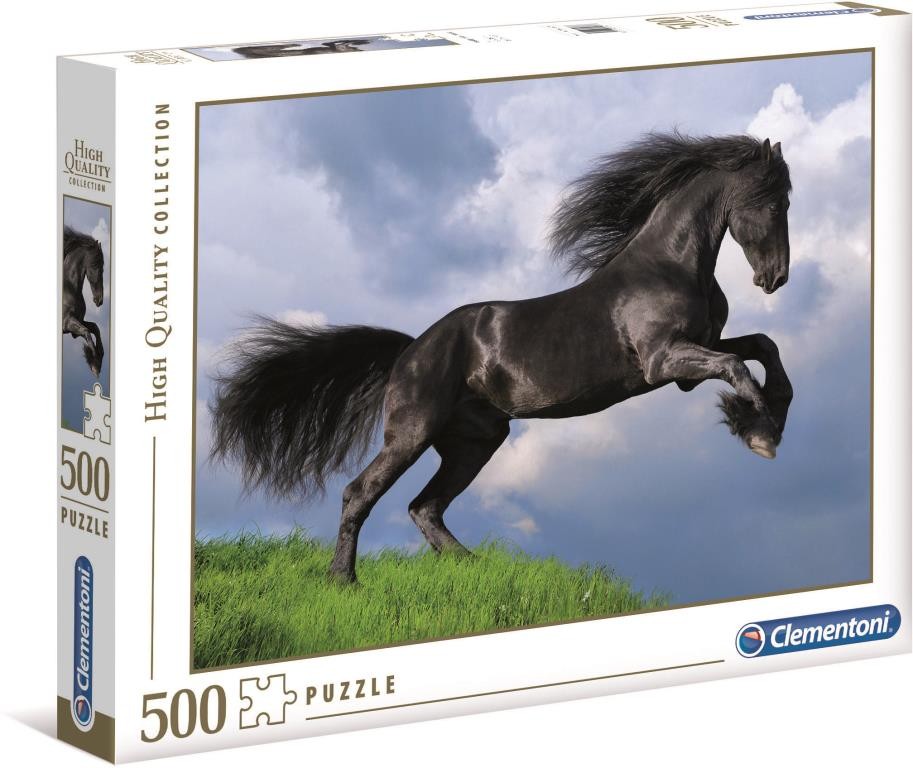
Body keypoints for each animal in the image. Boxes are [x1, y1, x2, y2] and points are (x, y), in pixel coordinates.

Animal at [62, 226, 105, 377]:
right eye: (97, 266)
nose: (99, 300)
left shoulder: (79, 320)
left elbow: (95, 328)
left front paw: (99, 358)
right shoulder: (67, 323)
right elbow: (87, 332)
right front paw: (94, 365)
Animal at [210, 132, 794, 584]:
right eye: (773, 203)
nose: (776, 278)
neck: (668, 266)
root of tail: (410, 350)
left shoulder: (694, 358)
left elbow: (763, 349)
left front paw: (767, 421)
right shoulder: (663, 361)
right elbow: (739, 368)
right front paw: (759, 433)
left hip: (475, 441)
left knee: (425, 507)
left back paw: (474, 568)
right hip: (413, 431)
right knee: (361, 493)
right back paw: (342, 580)